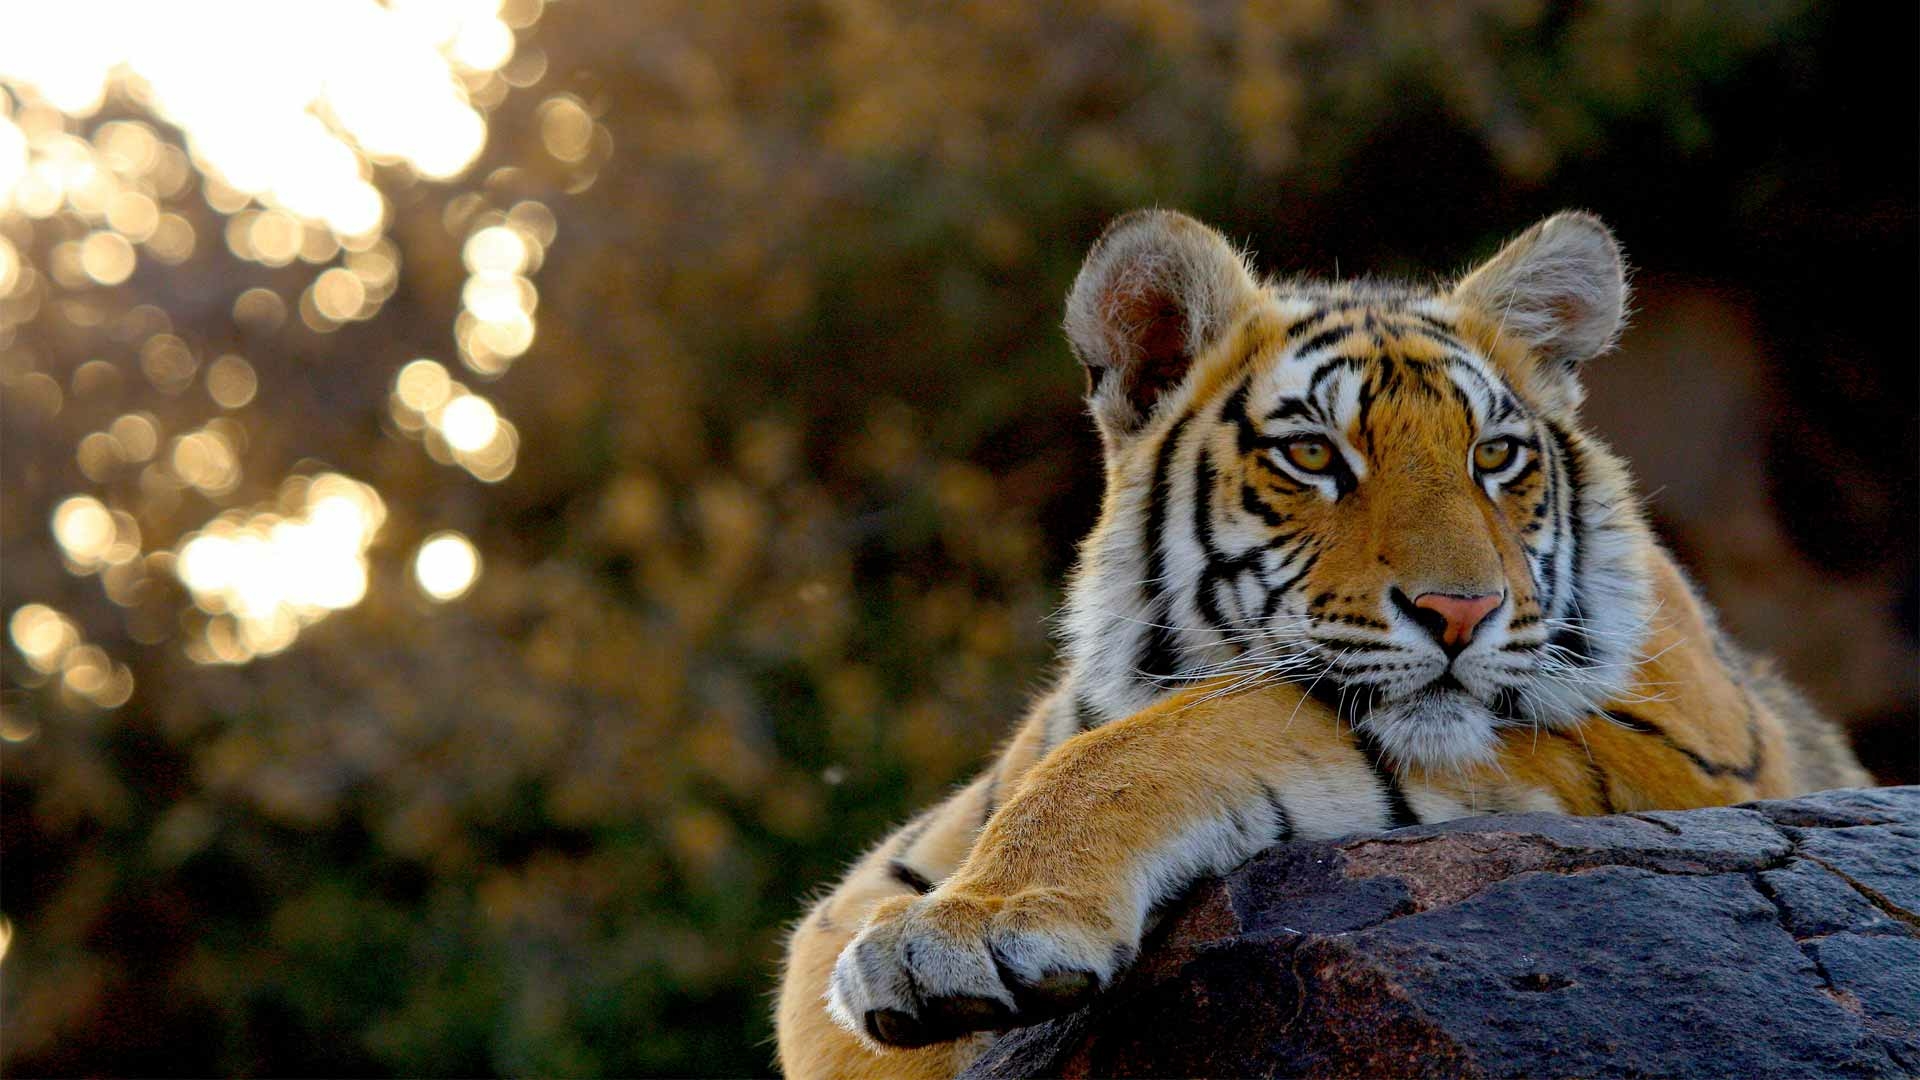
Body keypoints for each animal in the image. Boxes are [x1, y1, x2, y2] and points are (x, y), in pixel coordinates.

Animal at [774, 209, 1872, 1080]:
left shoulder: (1677, 740)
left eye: (1495, 456)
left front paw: (968, 931)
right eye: (1312, 454)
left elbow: (1190, 733)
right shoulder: (849, 907)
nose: (1462, 612)